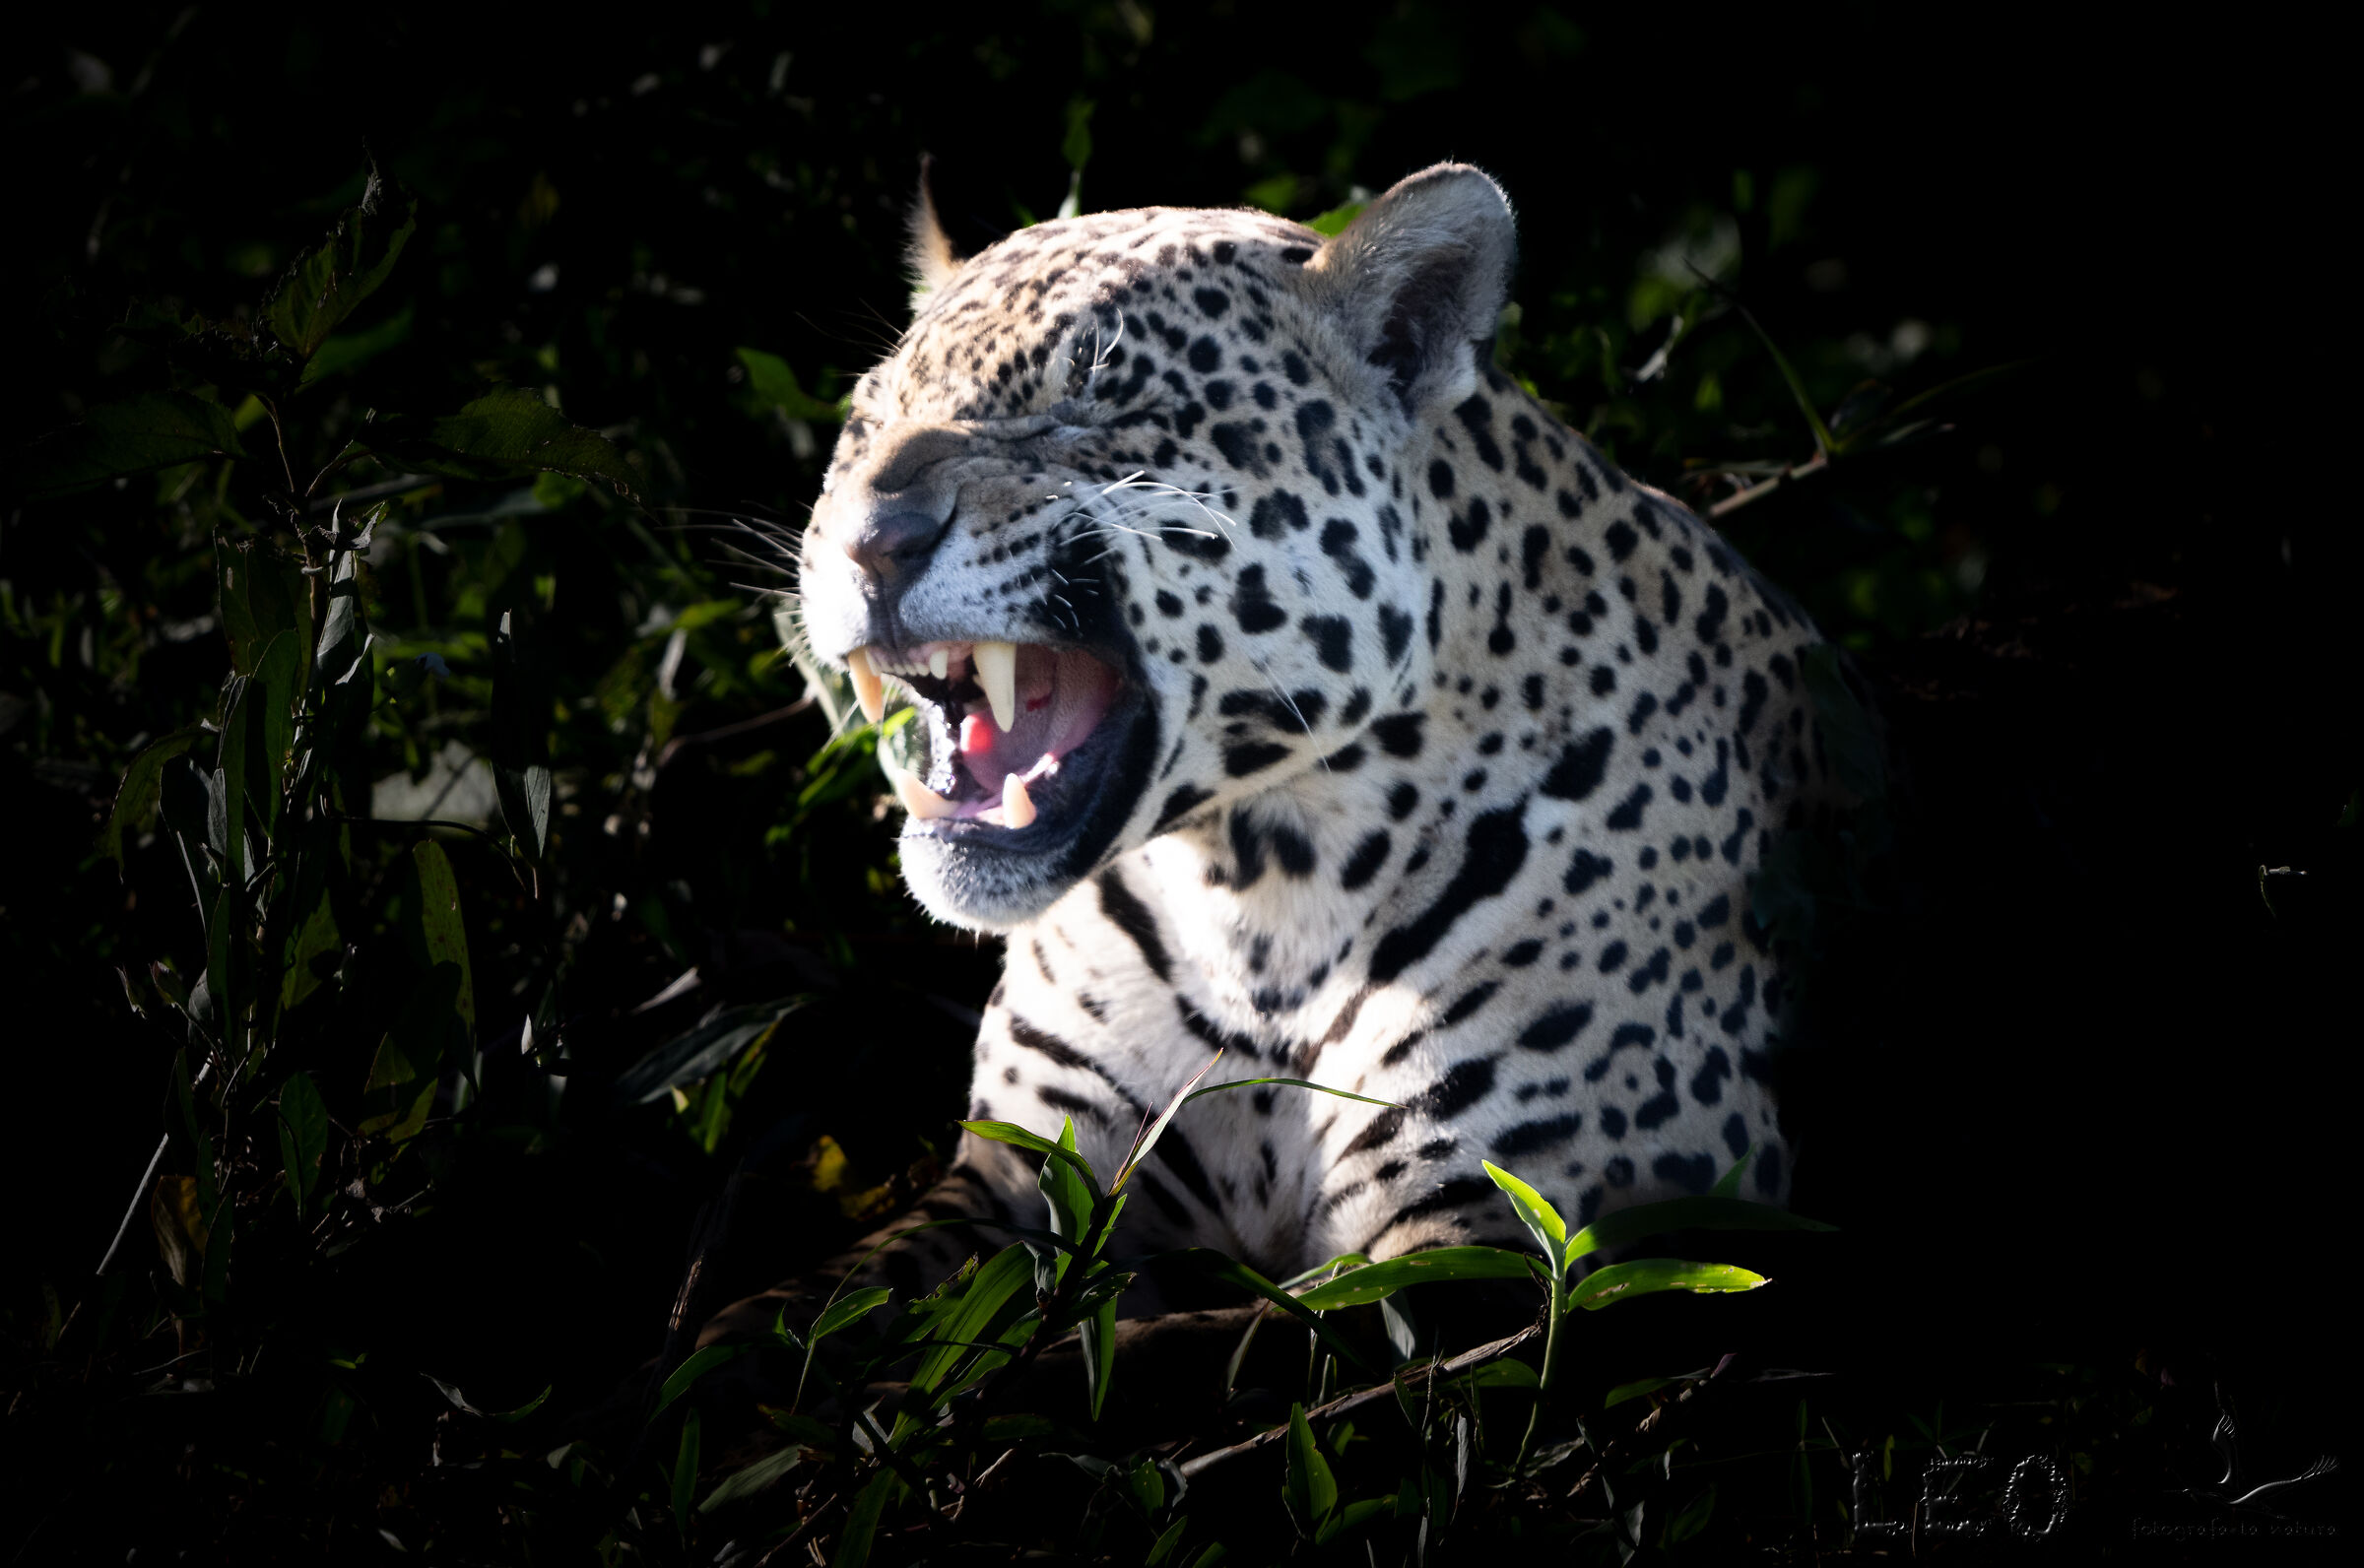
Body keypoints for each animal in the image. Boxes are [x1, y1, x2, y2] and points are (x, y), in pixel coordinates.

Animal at [779, 162, 1849, 1311]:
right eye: (869, 418)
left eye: (1091, 405)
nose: (871, 543)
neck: (1254, 902)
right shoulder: (1012, 1173)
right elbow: (816, 1306)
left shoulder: (1503, 1233)